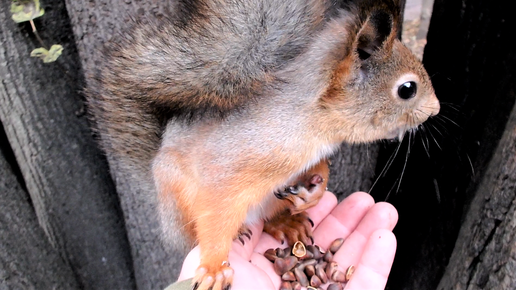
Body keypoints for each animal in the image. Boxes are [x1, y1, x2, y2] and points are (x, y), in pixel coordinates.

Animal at [84, 0, 440, 290]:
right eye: (407, 89)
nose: (435, 110)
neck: (313, 123)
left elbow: (317, 170)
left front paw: (315, 190)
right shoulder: (232, 167)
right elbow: (217, 208)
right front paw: (213, 268)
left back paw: (286, 222)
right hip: (179, 203)